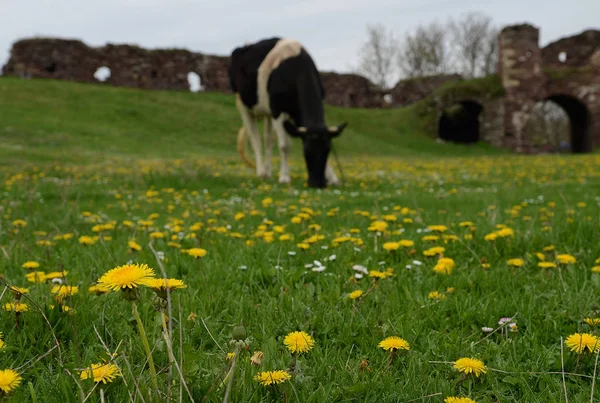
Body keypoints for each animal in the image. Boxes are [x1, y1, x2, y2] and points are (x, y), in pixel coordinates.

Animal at [229, 37, 346, 189]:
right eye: (305, 150)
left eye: (328, 150)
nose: (317, 184)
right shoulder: (279, 111)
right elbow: (284, 145)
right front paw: (284, 177)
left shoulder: (296, 114)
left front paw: (332, 177)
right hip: (243, 106)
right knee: (255, 139)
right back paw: (261, 172)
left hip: (268, 111)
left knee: (268, 139)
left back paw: (268, 171)